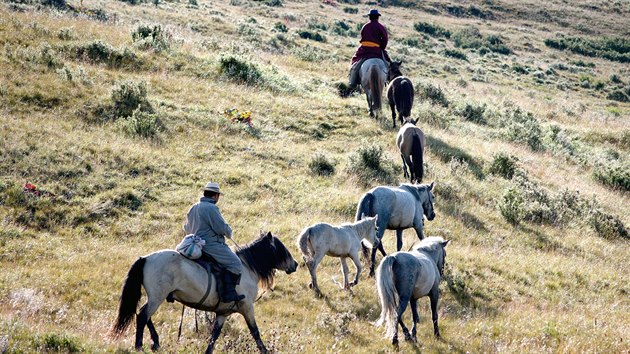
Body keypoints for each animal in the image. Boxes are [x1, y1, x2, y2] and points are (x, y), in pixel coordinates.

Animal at [111, 232, 298, 354]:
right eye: (280, 248)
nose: (295, 264)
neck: (247, 267)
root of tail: (145, 258)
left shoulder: (223, 313)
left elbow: (214, 335)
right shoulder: (247, 307)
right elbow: (255, 331)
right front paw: (265, 350)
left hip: (156, 297)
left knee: (143, 314)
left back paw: (155, 343)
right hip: (157, 297)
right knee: (143, 315)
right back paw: (139, 346)